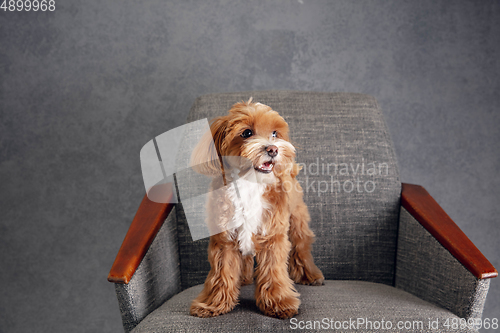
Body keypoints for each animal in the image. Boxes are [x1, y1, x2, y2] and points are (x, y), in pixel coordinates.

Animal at [188, 99, 324, 320]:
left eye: (275, 133)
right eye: (247, 133)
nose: (273, 149)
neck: (249, 182)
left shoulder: (273, 235)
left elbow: (273, 270)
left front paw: (279, 303)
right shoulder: (224, 239)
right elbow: (221, 272)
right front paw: (213, 304)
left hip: (297, 219)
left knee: (301, 246)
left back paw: (310, 275)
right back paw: (243, 278)